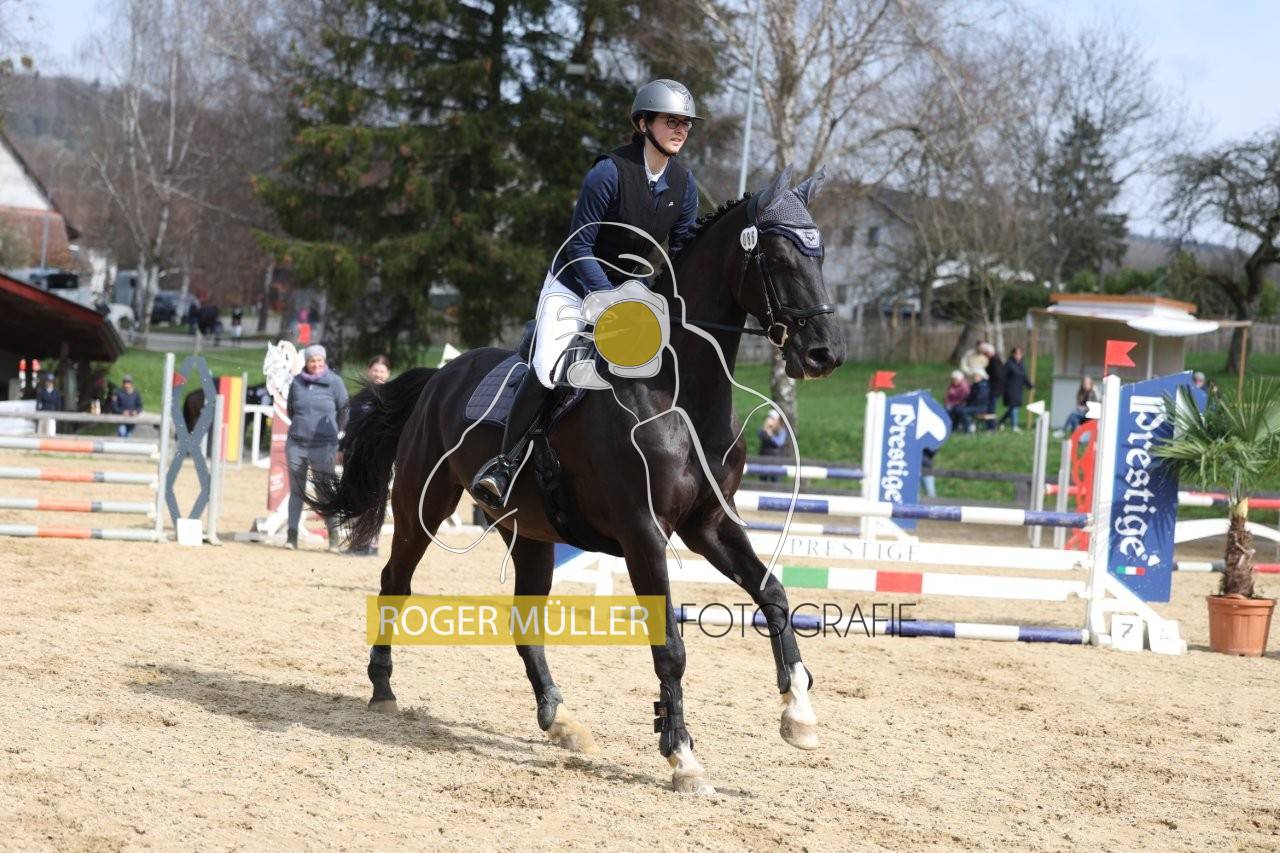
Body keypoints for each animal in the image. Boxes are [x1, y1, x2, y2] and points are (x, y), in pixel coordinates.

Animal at [311, 167, 846, 794]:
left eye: (820, 255)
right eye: (780, 258)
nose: (825, 354)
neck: (679, 394)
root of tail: (441, 375)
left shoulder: (708, 523)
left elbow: (774, 596)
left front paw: (799, 715)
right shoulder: (643, 532)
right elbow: (671, 646)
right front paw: (682, 756)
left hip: (529, 532)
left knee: (524, 622)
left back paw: (560, 719)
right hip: (425, 503)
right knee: (395, 581)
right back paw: (383, 688)